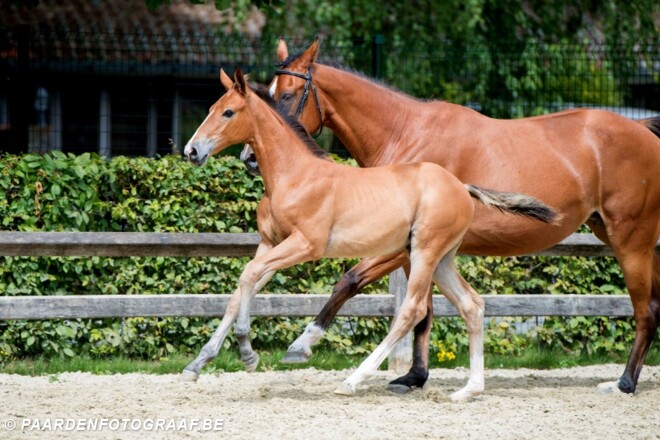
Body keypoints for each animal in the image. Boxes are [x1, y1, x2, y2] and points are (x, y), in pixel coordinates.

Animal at [181, 67, 559, 400]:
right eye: (211, 109)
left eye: (229, 112)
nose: (191, 151)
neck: (296, 175)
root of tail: (461, 186)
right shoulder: (269, 244)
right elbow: (240, 290)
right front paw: (198, 363)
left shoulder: (305, 245)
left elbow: (248, 275)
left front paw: (248, 351)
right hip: (440, 259)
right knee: (472, 304)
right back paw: (468, 390)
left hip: (423, 253)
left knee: (410, 311)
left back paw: (353, 381)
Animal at [263, 38, 660, 395]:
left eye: (288, 95)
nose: (255, 158)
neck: (406, 134)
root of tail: (644, 131)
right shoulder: (417, 252)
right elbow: (423, 313)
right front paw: (414, 377)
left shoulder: (399, 248)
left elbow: (351, 282)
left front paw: (302, 345)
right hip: (622, 238)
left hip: (631, 243)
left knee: (646, 309)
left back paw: (624, 383)